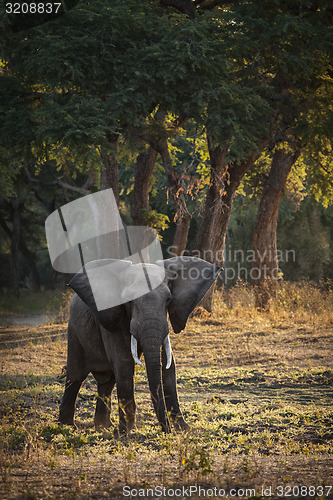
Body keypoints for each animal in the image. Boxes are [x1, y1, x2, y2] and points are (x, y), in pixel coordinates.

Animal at [59, 254, 220, 434]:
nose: (166, 430)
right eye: (129, 301)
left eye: (169, 299)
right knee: (76, 376)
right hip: (74, 331)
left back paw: (104, 427)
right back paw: (67, 426)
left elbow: (168, 365)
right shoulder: (112, 320)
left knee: (108, 381)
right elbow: (123, 363)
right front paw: (126, 432)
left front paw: (183, 428)